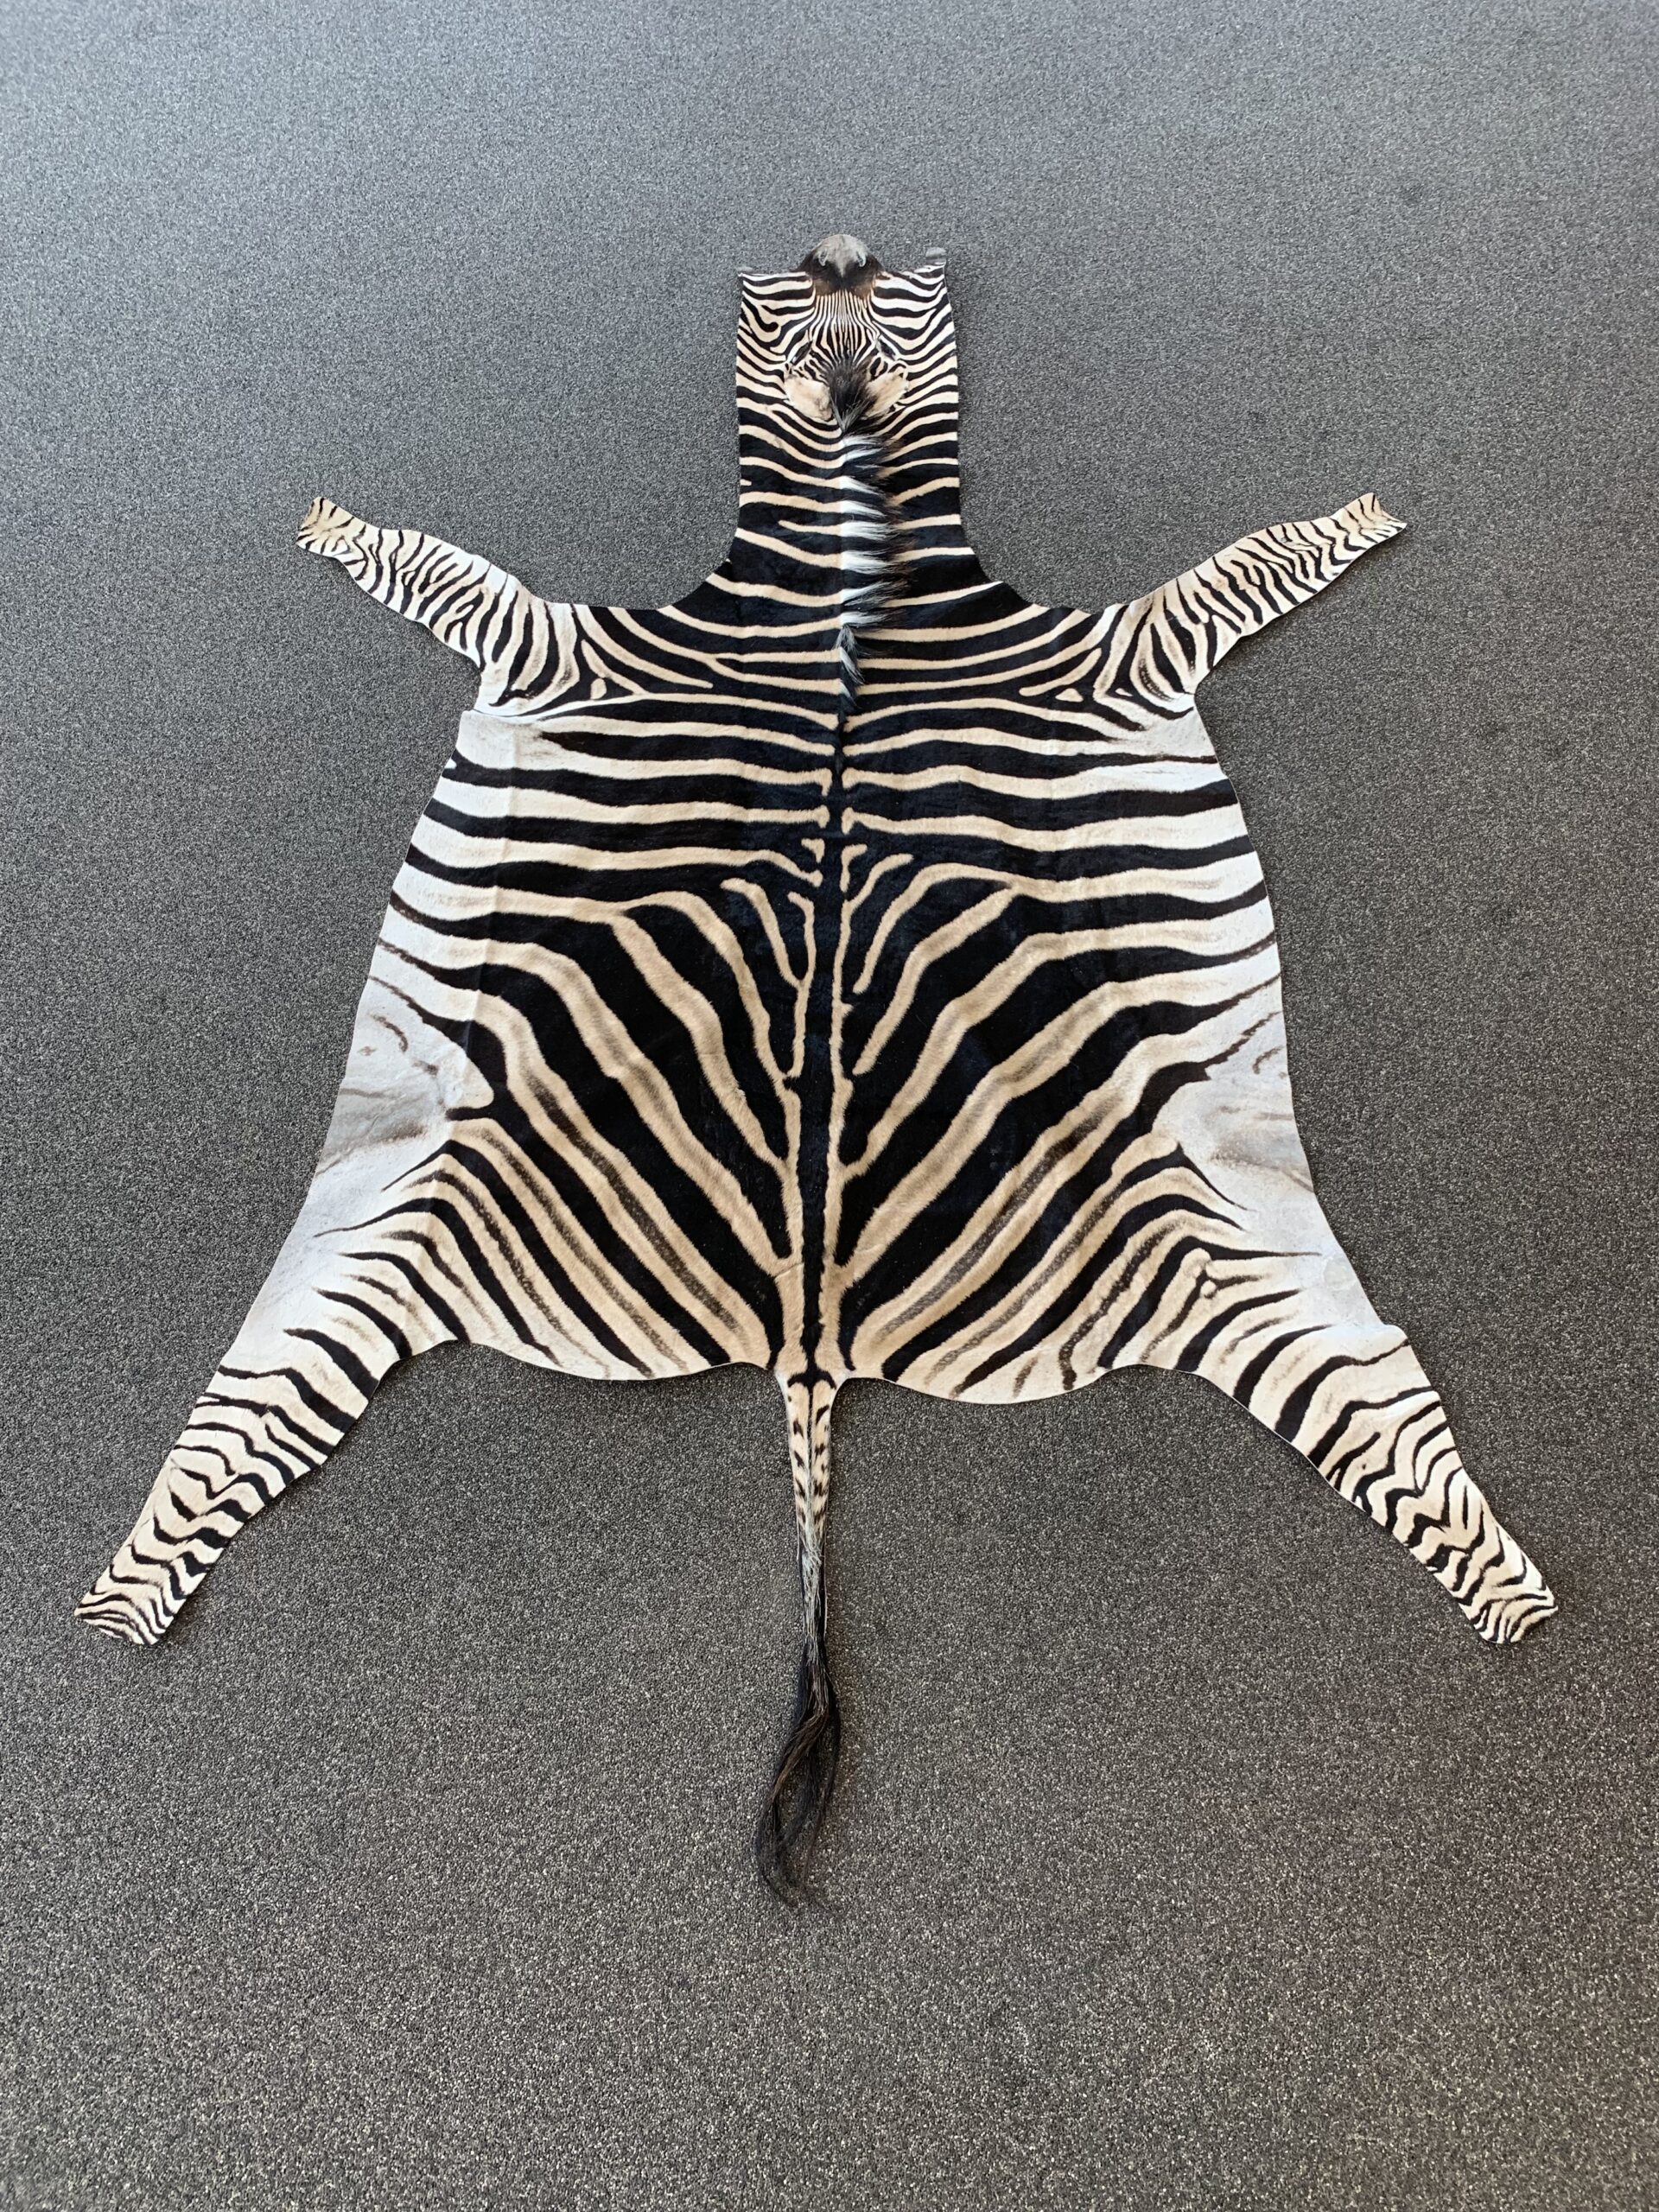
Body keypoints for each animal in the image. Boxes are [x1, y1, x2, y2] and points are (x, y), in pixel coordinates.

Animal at [79, 233, 1557, 1899]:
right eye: (796, 296)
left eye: (884, 296)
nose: (838, 247)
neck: (851, 576)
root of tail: (807, 1335)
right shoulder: (555, 648)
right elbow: (436, 562)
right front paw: (334, 522)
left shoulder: (1120, 651)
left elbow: (1254, 558)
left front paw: (1360, 518)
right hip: (394, 1196)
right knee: (245, 1415)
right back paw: (122, 1598)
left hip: (1231, 1223)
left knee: (1381, 1417)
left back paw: (1512, 1592)